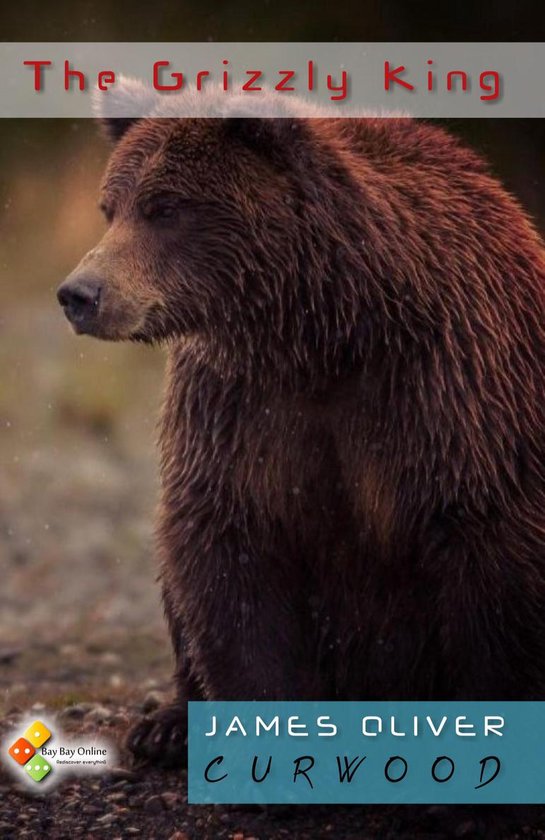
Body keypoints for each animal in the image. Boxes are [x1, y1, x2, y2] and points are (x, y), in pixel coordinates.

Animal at [57, 80, 545, 766]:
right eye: (111, 208)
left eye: (164, 207)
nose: (80, 294)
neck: (324, 331)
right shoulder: (239, 406)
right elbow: (227, 549)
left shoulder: (449, 388)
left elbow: (486, 557)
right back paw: (165, 726)